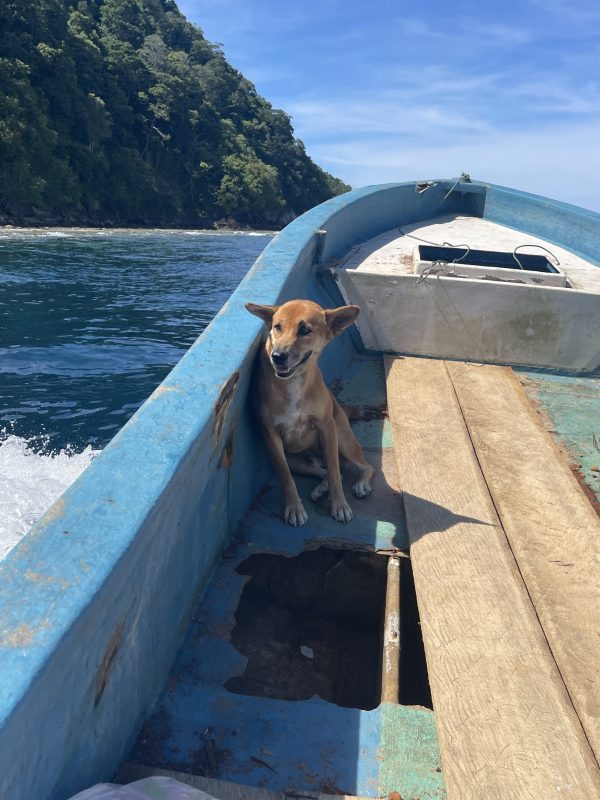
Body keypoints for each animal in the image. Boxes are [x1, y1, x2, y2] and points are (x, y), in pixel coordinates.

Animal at [246, 298, 372, 524]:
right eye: (277, 327)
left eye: (304, 330)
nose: (277, 356)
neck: (294, 383)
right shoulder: (271, 435)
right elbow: (286, 476)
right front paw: (294, 508)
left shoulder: (327, 427)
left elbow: (334, 470)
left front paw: (339, 505)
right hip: (296, 460)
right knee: (324, 472)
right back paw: (321, 489)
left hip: (343, 440)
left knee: (361, 466)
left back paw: (360, 484)